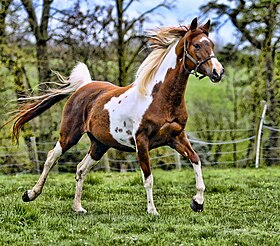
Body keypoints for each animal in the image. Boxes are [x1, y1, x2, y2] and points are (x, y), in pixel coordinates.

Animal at [12, 17, 224, 214]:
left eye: (212, 44)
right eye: (197, 45)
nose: (218, 72)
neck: (159, 97)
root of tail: (83, 86)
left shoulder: (177, 137)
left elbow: (196, 160)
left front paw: (197, 202)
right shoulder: (142, 142)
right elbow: (148, 178)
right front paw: (152, 211)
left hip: (99, 144)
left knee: (80, 169)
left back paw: (78, 207)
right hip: (69, 136)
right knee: (50, 158)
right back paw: (30, 194)